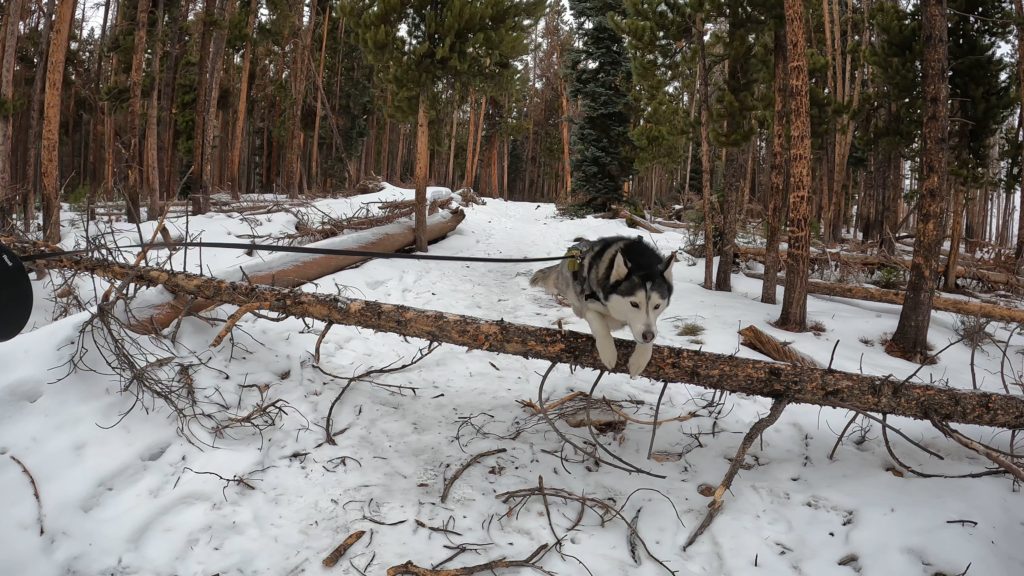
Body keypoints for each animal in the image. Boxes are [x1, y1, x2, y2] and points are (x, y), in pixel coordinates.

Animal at [532, 234, 675, 377]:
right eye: (634, 304)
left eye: (657, 306)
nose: (648, 336)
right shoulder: (588, 304)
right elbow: (599, 324)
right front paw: (608, 353)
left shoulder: (648, 325)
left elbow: (651, 330)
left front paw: (640, 359)